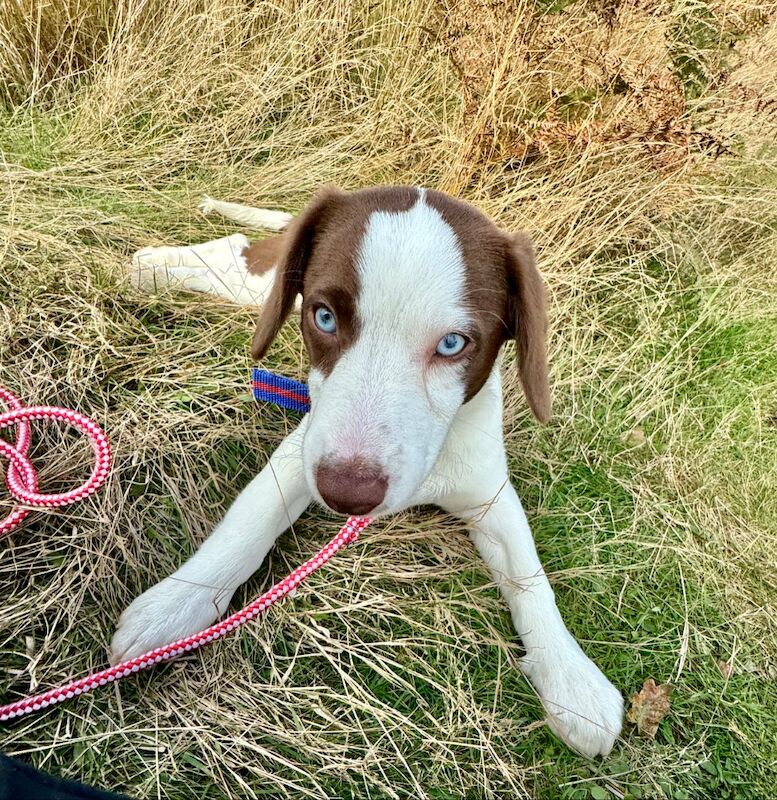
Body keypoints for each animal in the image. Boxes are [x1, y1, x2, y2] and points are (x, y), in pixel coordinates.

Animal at [112, 186, 624, 756]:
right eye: (324, 317)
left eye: (454, 344)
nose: (347, 496)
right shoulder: (302, 453)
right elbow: (245, 530)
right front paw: (176, 605)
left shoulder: (488, 492)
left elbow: (530, 578)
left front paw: (571, 674)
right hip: (268, 287)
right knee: (238, 252)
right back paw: (152, 268)